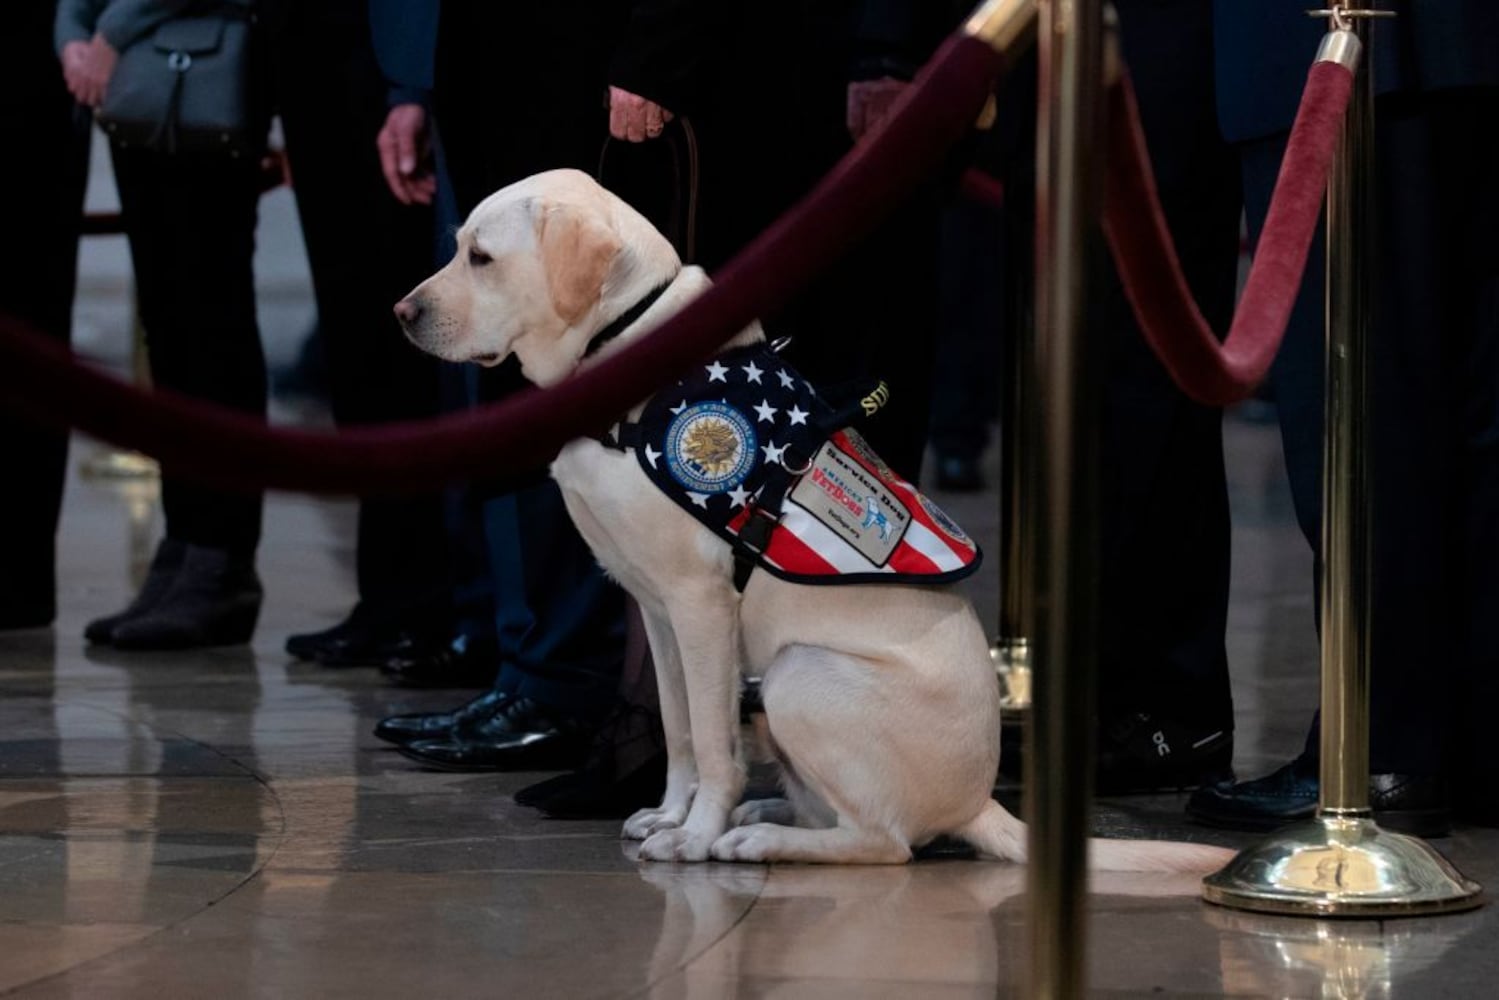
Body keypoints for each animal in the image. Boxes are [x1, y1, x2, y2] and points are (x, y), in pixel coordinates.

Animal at [392, 167, 1235, 869]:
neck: (625, 356)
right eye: (458, 248)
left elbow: (713, 744)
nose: (401, 313)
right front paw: (670, 816)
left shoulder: (701, 605)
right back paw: (766, 816)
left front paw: (692, 836)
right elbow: (679, 731)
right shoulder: (655, 609)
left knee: (884, 842)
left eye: (482, 257)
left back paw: (754, 838)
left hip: (797, 672)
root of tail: (980, 802)